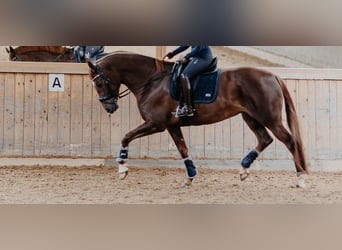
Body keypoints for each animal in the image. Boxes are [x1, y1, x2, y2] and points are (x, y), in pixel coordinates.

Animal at [87, 51, 308, 188]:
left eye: (99, 83)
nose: (110, 107)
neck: (151, 81)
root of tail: (273, 75)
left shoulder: (156, 124)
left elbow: (126, 136)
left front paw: (122, 169)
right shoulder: (171, 126)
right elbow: (183, 149)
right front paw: (190, 178)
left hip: (270, 118)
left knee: (290, 141)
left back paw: (301, 178)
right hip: (250, 116)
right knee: (265, 139)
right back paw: (244, 170)